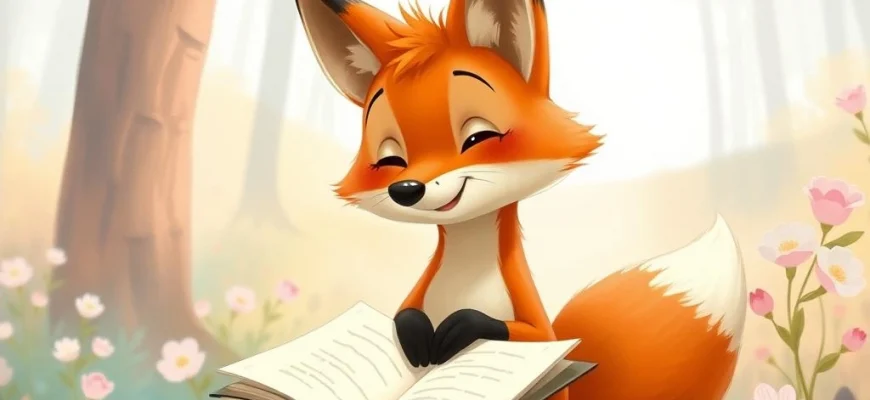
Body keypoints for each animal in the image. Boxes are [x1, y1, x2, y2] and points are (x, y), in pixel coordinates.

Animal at [296, 0, 748, 398]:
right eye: (390, 159)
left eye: (478, 137)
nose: (406, 189)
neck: (466, 267)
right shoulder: (418, 291)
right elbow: (402, 314)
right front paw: (414, 331)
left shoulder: (533, 319)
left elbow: (524, 334)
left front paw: (464, 326)